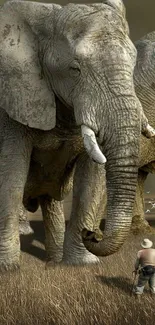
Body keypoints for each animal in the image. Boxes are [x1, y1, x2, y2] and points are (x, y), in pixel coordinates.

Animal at [0, 0, 154, 270]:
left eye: (132, 65)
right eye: (75, 69)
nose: (92, 233)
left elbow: (92, 177)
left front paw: (82, 265)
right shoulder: (13, 100)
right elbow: (12, 174)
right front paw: (9, 269)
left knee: (50, 202)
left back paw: (54, 262)